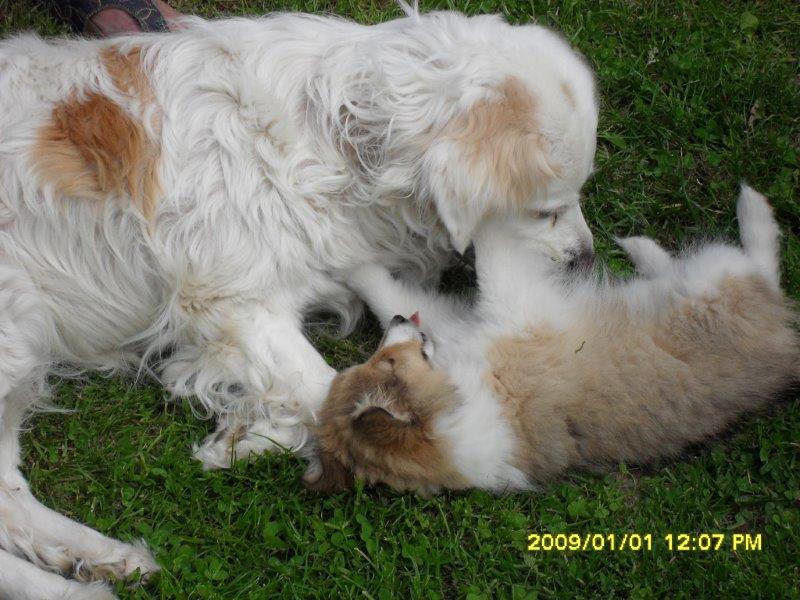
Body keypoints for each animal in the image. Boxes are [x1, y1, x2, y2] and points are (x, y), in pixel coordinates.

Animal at [0, 8, 598, 597]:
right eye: (546, 209)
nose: (586, 262)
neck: (338, 143)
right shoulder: (233, 301)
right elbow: (326, 389)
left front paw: (243, 439)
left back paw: (99, 558)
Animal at [304, 186, 800, 495]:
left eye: (379, 360)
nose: (399, 324)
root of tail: (780, 334)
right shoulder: (516, 309)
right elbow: (493, 257)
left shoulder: (462, 323)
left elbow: (387, 289)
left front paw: (344, 262)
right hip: (720, 279)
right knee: (762, 264)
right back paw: (746, 211)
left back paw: (646, 253)